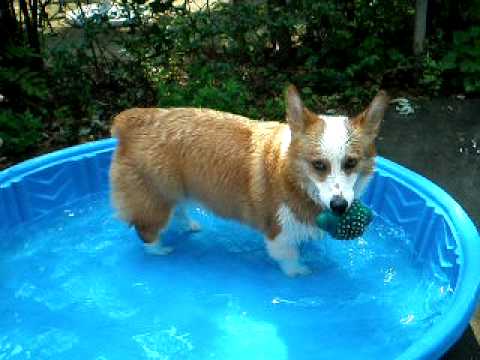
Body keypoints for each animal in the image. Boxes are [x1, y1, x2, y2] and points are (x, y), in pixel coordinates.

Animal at [110, 86, 388, 276]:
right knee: (146, 230)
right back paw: (160, 251)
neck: (295, 178)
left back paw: (191, 226)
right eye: (318, 165)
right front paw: (300, 272)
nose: (339, 207)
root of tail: (130, 122)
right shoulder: (279, 234)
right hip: (154, 201)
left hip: (173, 192)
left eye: (351, 163)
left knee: (178, 211)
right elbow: (289, 258)